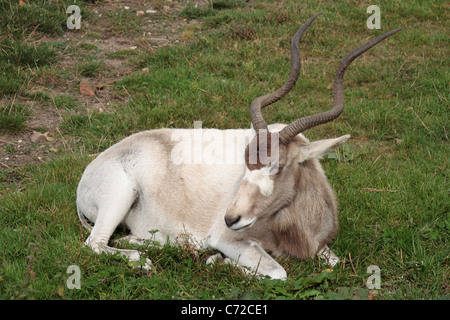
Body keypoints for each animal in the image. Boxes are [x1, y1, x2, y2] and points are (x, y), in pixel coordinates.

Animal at [75, 13, 400, 278]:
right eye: (246, 160)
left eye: (278, 166)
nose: (230, 218)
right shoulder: (227, 239)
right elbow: (278, 272)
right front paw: (216, 261)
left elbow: (334, 261)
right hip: (119, 196)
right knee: (95, 243)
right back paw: (142, 259)